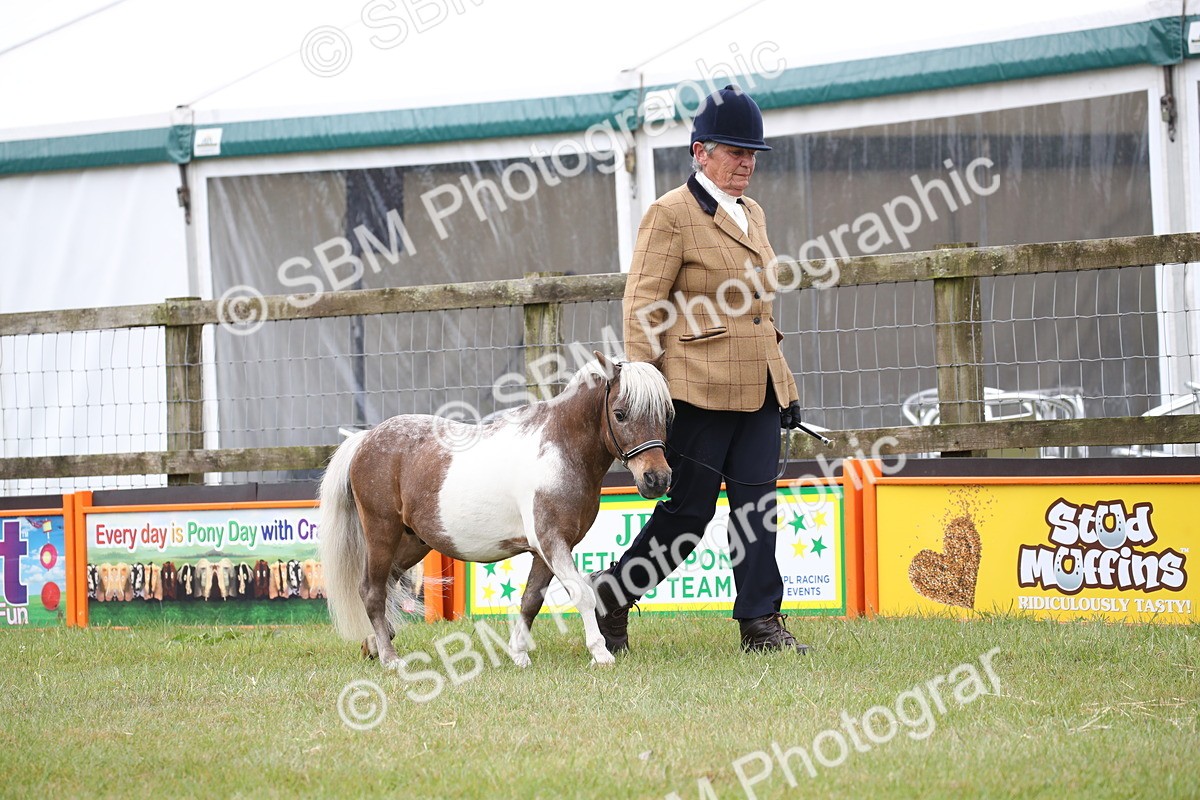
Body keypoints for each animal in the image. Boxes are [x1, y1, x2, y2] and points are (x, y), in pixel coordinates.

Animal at [318, 353, 673, 668]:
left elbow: (531, 601)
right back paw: (390, 658)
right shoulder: (552, 542)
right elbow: (581, 593)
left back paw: (375, 645)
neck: (559, 451)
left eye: (666, 415)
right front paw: (600, 654)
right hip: (382, 533)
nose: (657, 479)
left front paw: (519, 654)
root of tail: (366, 438)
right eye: (620, 413)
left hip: (412, 542)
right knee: (372, 592)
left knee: (385, 586)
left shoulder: (546, 549)